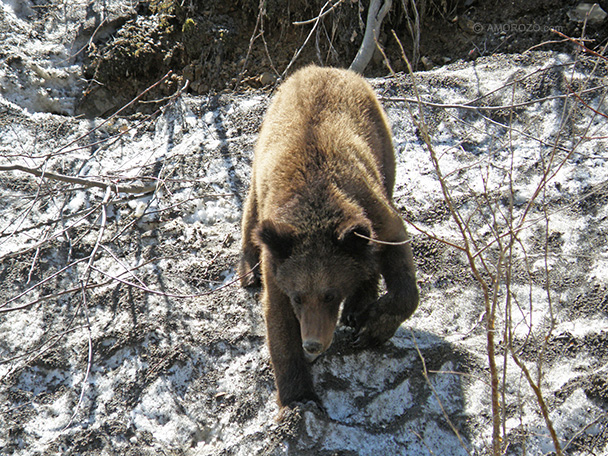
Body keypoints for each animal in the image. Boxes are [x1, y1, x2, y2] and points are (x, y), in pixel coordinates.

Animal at [238, 66, 418, 412]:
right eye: (298, 297)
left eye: (329, 294)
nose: (312, 343)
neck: (316, 208)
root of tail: (324, 69)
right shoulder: (280, 261)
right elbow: (277, 320)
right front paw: (299, 396)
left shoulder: (372, 212)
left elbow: (399, 266)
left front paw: (371, 327)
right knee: (251, 208)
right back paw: (248, 272)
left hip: (382, 146)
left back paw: (358, 306)